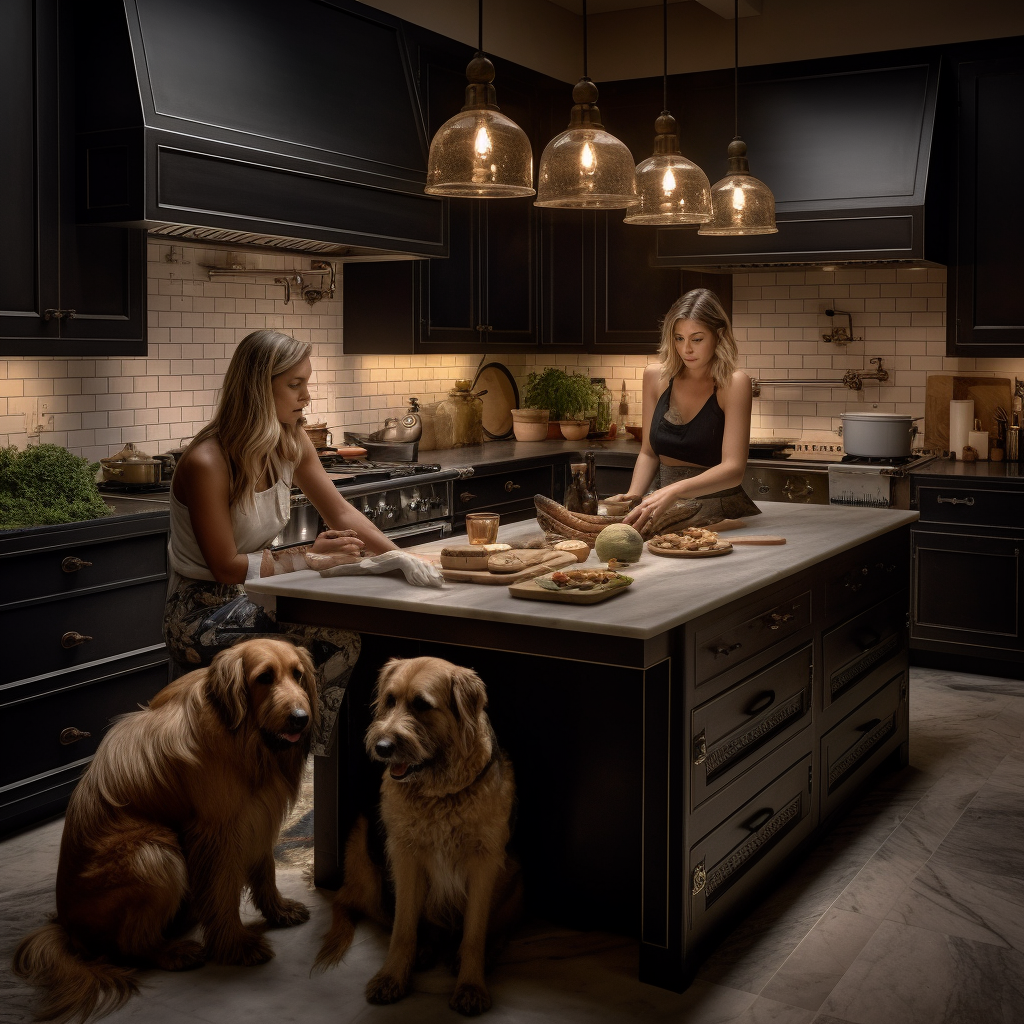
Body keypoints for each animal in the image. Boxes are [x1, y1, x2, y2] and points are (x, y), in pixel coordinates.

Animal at [12, 634, 315, 1019]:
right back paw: (173, 952)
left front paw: (278, 910)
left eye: (298, 674)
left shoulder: (258, 815)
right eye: (264, 678)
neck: (244, 736)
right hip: (155, 852)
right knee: (132, 945)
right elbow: (223, 893)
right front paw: (235, 945)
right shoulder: (218, 830)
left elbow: (265, 870)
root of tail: (67, 930)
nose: (300, 719)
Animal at [315, 655, 524, 1015]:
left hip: (515, 874)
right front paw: (392, 976)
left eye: (423, 705)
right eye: (389, 700)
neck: (439, 793)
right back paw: (424, 949)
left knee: (496, 930)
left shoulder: (485, 861)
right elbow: (403, 929)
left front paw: (471, 984)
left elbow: (475, 934)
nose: (382, 747)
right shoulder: (404, 856)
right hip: (363, 850)